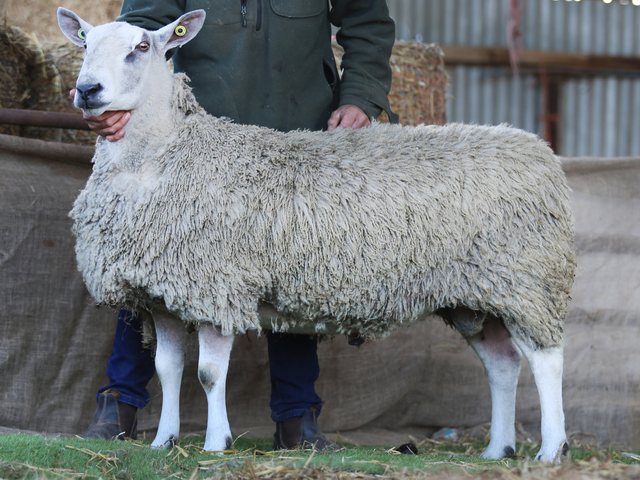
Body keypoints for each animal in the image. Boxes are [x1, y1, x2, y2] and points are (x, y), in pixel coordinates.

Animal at [57, 7, 576, 461]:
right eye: (85, 43)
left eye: (142, 47)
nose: (87, 90)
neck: (161, 157)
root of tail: (539, 149)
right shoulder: (160, 293)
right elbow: (167, 371)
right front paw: (163, 442)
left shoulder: (217, 285)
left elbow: (207, 374)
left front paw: (215, 443)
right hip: (476, 295)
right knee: (503, 363)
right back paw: (497, 449)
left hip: (526, 280)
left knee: (547, 360)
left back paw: (551, 449)